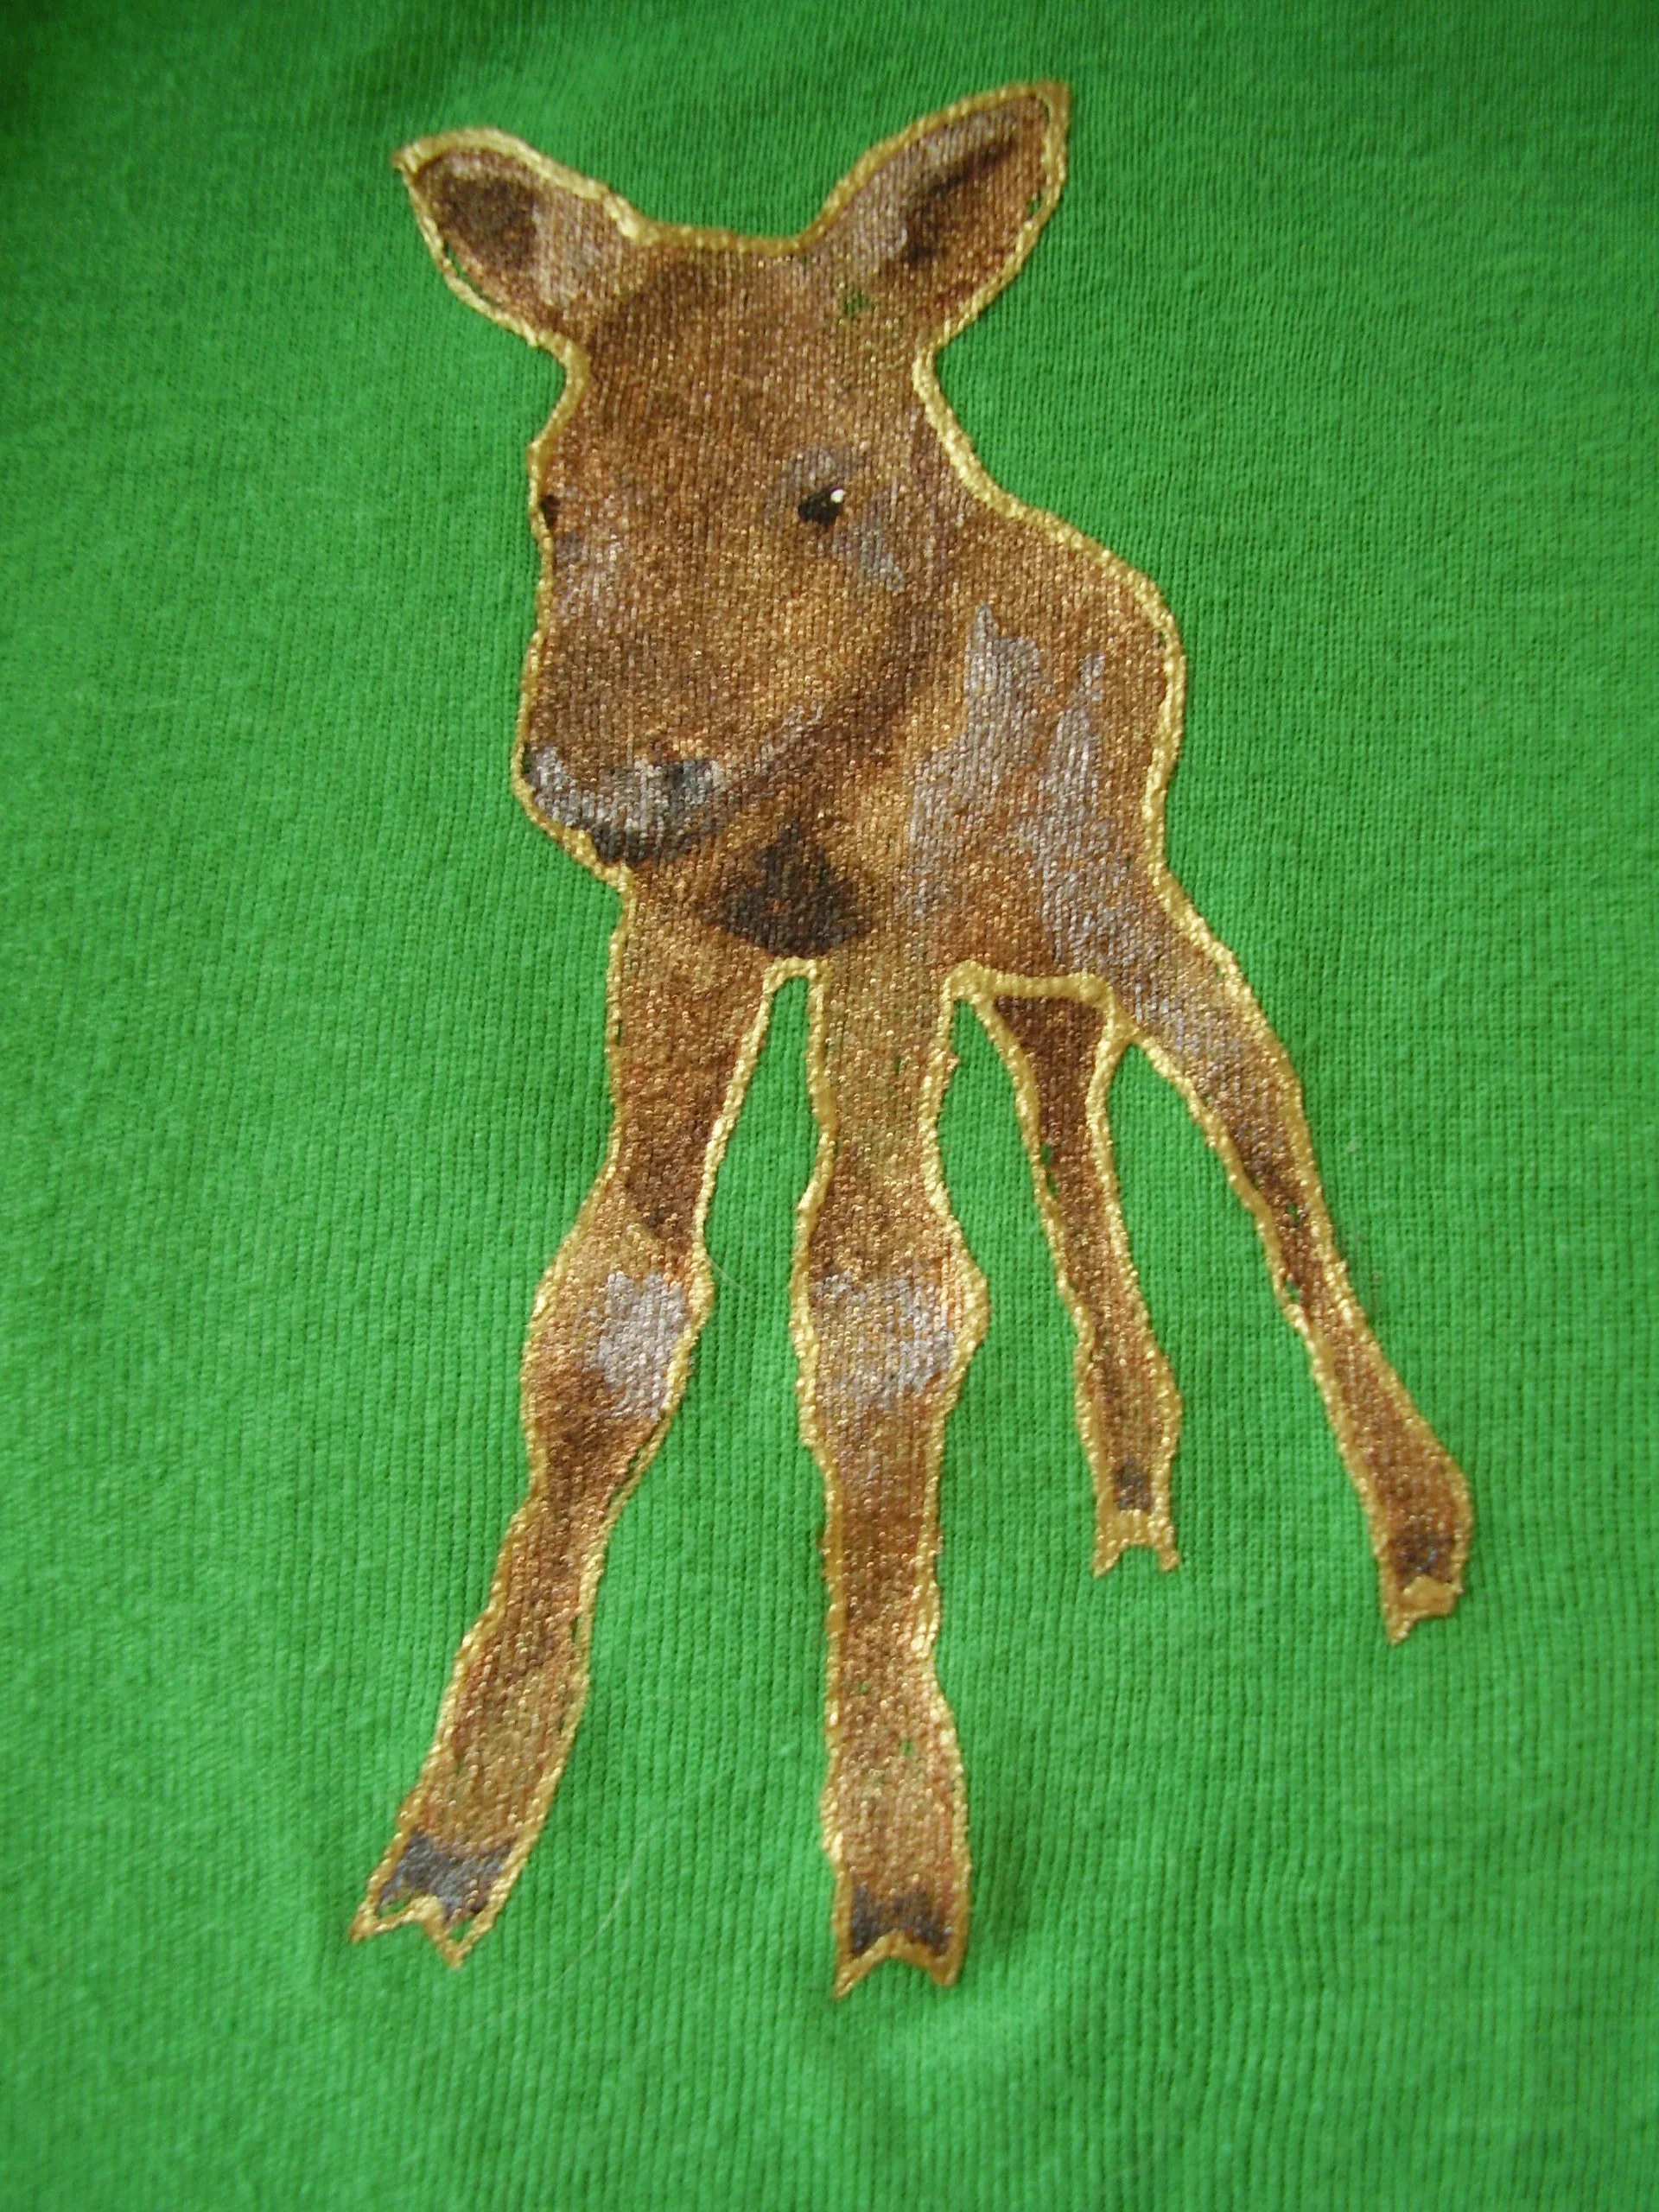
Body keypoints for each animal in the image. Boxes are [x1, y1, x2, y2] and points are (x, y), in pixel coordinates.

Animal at [353, 82, 1472, 1995]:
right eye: (555, 494)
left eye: (824, 492)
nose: (604, 781)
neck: (793, 803)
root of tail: (1130, 598)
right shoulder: (692, 931)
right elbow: (613, 1304)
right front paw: (454, 1839)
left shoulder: (893, 914)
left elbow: (878, 1295)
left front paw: (895, 1872)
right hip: (1013, 964)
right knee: (1068, 1104)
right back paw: (1135, 1488)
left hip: (1105, 886)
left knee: (1252, 1101)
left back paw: (1414, 1531)